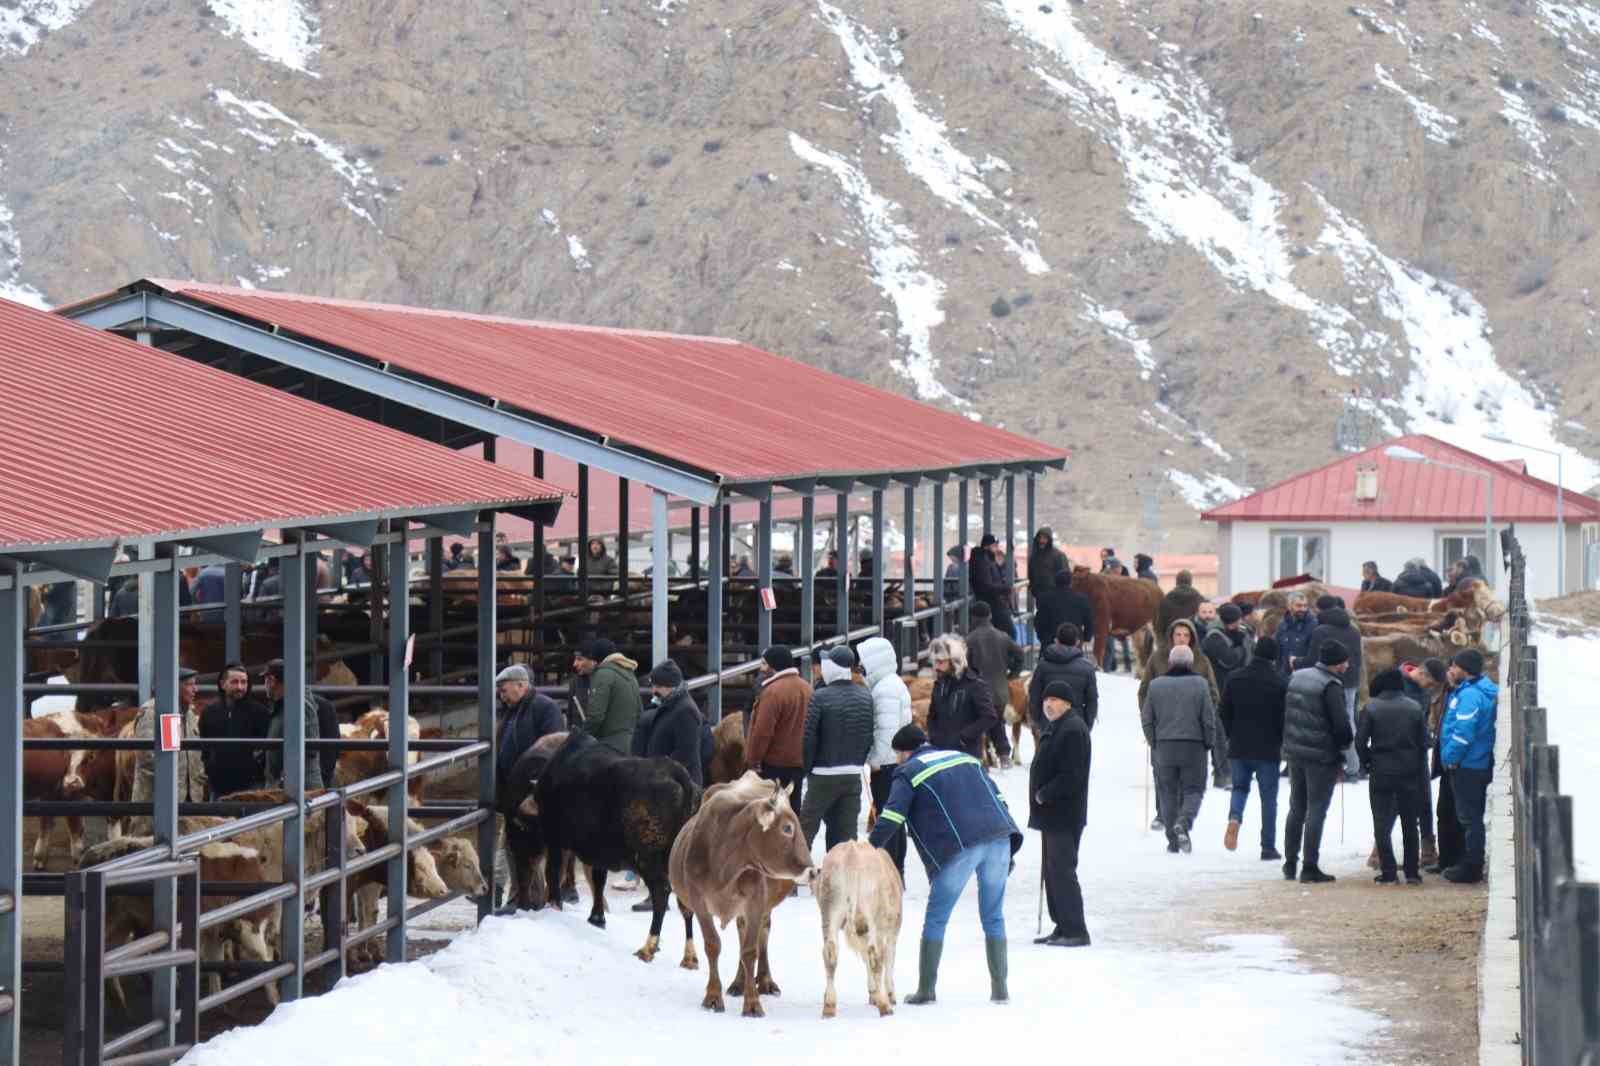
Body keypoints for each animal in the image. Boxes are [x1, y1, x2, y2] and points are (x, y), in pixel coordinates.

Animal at [528, 726, 697, 960]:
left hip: (647, 858)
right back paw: (689, 956)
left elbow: (553, 872)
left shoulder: (554, 837)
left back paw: (648, 947)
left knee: (661, 893)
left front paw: (555, 905)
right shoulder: (599, 850)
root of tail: (676, 773)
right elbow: (599, 879)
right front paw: (597, 918)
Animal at [665, 768, 819, 1011]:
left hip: (763, 905)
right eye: (787, 828)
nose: (813, 871)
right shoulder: (699, 903)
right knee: (742, 931)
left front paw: (753, 1002)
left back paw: (764, 980)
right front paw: (713, 995)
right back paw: (738, 982)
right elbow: (713, 944)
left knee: (762, 933)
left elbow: (750, 950)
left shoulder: (756, 901)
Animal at [812, 845, 902, 1017]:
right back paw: (885, 1006)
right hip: (872, 918)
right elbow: (888, 960)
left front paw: (873, 994)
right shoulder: (891, 931)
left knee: (830, 953)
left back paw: (829, 1006)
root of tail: (851, 853)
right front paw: (889, 995)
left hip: (830, 911)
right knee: (875, 956)